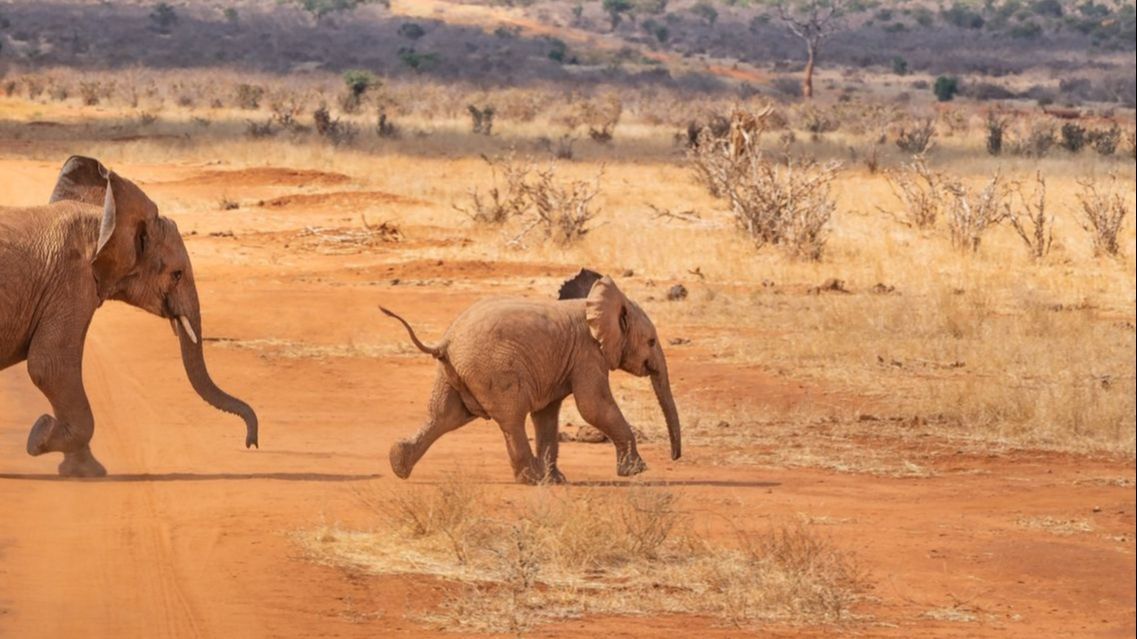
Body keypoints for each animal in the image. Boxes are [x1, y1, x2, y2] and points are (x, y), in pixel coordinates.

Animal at [0, 155, 258, 472]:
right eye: (177, 274)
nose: (251, 443)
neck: (104, 222)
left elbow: (54, 368)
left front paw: (81, 469)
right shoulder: (70, 279)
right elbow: (50, 365)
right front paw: (40, 438)